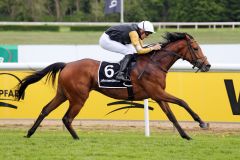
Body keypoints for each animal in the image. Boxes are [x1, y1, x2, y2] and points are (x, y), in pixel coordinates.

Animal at [16, 32, 211, 140]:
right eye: (195, 48)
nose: (207, 65)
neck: (154, 64)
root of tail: (67, 64)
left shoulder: (157, 95)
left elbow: (171, 116)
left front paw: (186, 135)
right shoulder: (157, 92)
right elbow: (183, 102)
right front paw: (202, 122)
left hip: (63, 94)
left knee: (46, 109)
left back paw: (29, 133)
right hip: (78, 97)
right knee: (67, 118)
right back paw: (77, 138)